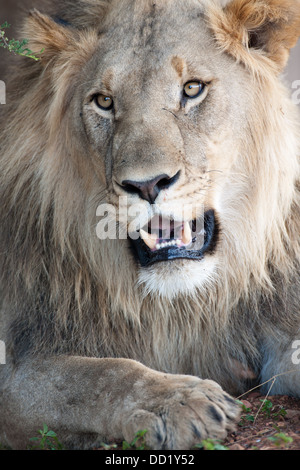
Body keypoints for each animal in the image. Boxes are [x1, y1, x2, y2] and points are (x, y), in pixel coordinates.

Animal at [0, 0, 300, 450]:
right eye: (104, 101)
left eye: (192, 89)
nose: (146, 184)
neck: (176, 305)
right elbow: (94, 374)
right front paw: (177, 401)